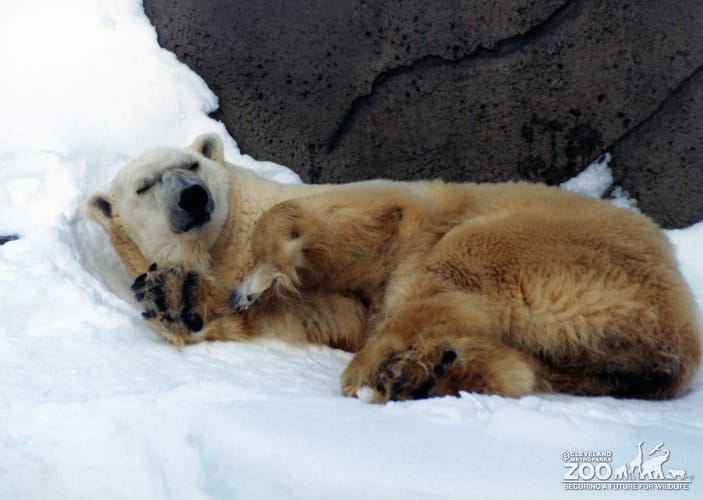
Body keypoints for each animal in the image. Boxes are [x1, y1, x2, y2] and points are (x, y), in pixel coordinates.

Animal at [86, 133, 702, 403]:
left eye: (191, 164)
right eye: (145, 185)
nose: (194, 198)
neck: (224, 242)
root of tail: (681, 329)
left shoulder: (383, 208)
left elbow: (363, 221)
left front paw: (259, 276)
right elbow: (328, 311)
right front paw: (177, 297)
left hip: (562, 244)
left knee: (458, 261)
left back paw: (382, 367)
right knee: (518, 364)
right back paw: (430, 371)